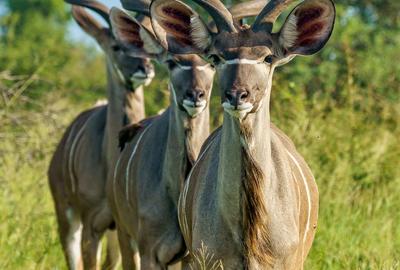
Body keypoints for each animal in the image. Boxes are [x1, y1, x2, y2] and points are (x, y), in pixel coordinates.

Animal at [46, 1, 154, 268]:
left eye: (145, 46)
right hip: (66, 215)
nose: (145, 69)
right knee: (72, 257)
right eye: (116, 46)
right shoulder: (91, 224)